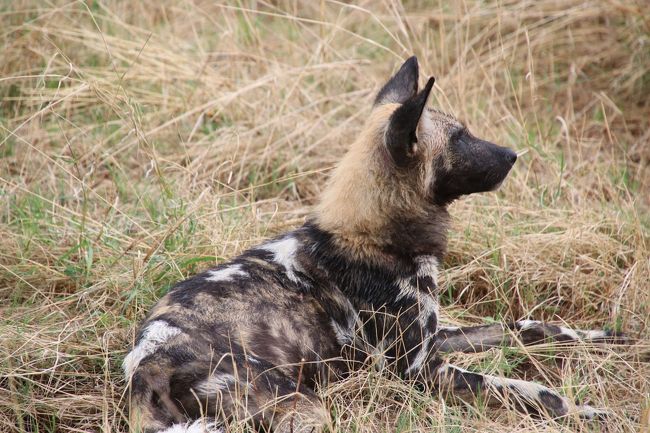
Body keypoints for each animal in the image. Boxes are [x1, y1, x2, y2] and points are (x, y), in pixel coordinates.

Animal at [125, 57, 616, 432]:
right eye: (459, 138)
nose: (515, 155)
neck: (379, 237)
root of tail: (145, 363)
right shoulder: (422, 371)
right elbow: (537, 391)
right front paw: (584, 411)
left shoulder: (435, 341)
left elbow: (528, 327)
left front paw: (607, 338)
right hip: (304, 408)